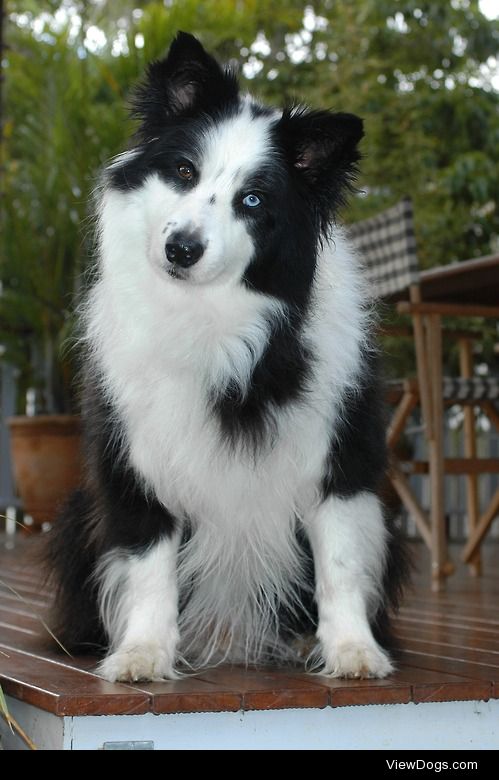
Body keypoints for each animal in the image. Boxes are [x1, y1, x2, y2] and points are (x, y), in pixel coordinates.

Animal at [47, 30, 406, 680]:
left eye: (253, 200)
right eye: (184, 171)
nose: (181, 248)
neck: (213, 319)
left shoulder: (339, 456)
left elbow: (340, 561)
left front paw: (353, 651)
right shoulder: (136, 458)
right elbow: (148, 561)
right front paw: (142, 653)